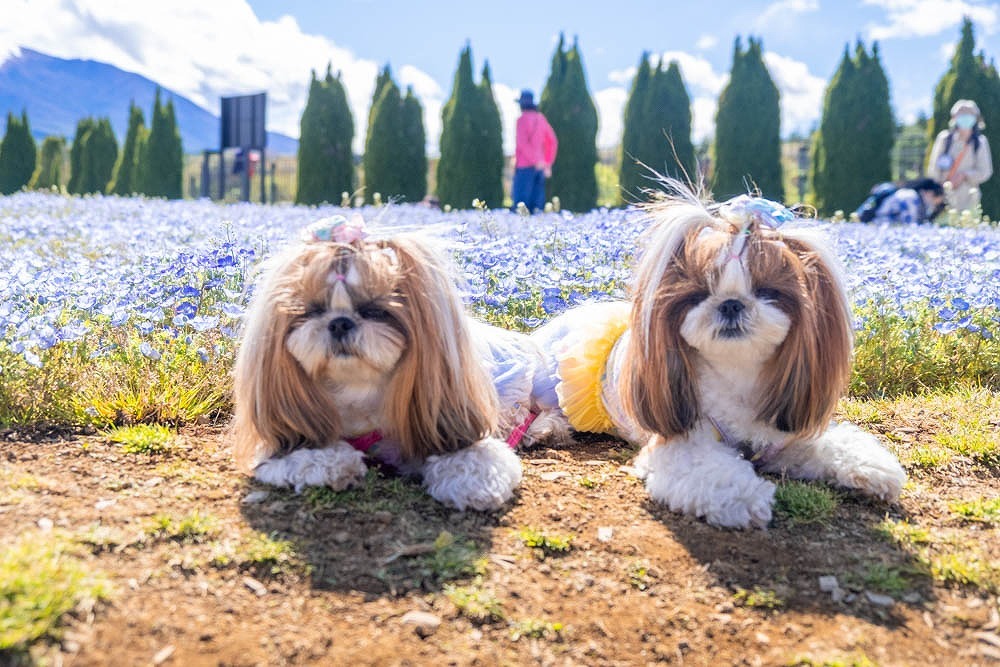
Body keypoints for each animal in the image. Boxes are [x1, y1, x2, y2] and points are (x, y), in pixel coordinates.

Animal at [234, 217, 564, 508]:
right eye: (312, 310)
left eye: (375, 310)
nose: (339, 323)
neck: (358, 391)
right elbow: (303, 454)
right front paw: (335, 463)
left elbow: (475, 458)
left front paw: (474, 484)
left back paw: (542, 429)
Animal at [536, 187, 912, 528]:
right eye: (699, 293)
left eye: (768, 291)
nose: (731, 303)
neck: (738, 374)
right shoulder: (680, 443)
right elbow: (714, 471)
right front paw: (746, 499)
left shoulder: (782, 436)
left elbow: (829, 443)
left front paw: (871, 467)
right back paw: (545, 429)